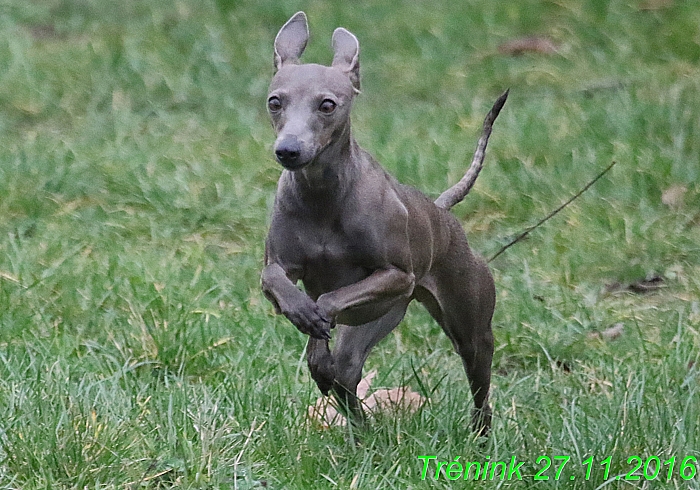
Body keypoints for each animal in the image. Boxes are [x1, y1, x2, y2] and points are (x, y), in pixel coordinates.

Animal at [260, 10, 506, 432]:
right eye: (275, 102)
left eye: (328, 105)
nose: (288, 150)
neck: (322, 197)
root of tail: (441, 211)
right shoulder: (280, 267)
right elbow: (277, 280)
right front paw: (303, 314)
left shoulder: (396, 277)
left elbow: (328, 299)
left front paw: (316, 315)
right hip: (377, 320)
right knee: (344, 374)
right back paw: (359, 427)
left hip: (467, 327)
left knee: (480, 391)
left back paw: (480, 435)